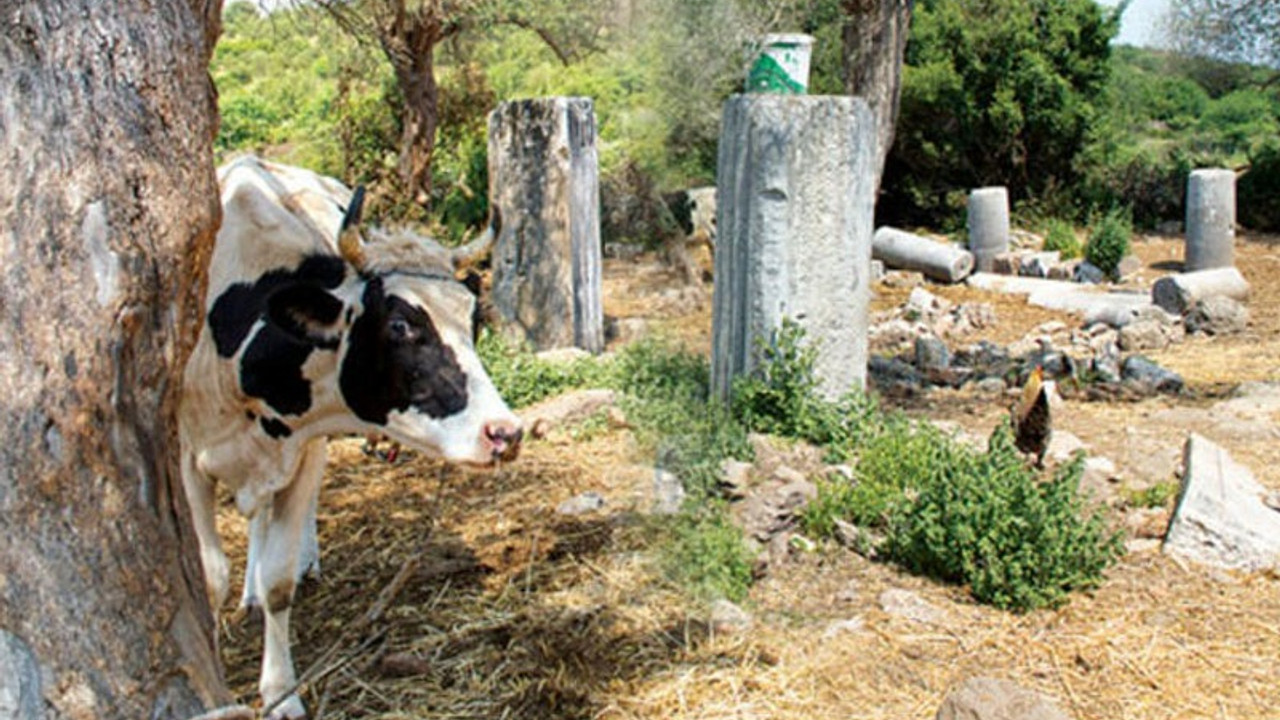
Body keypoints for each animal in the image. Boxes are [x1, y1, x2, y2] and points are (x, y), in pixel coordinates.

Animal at [179, 154, 519, 712]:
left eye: (473, 322)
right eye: (400, 326)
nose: (505, 433)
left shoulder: (304, 445)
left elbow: (278, 582)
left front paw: (281, 696)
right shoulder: (185, 457)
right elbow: (208, 579)